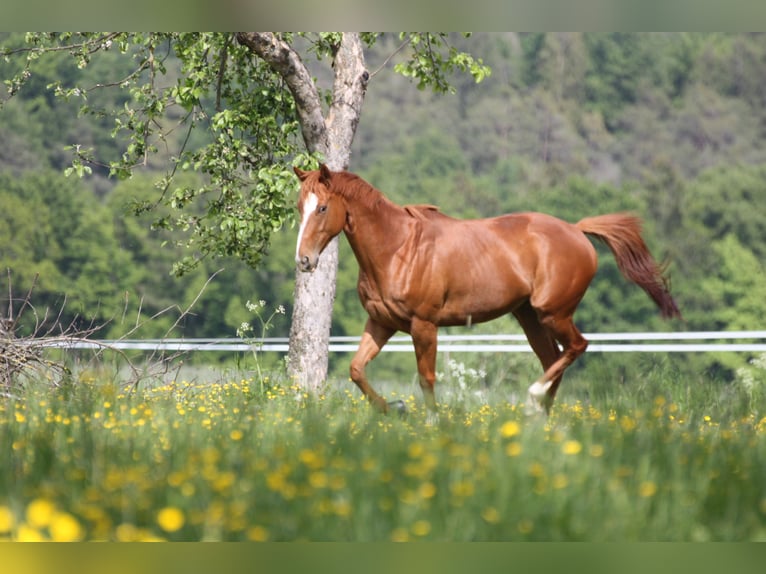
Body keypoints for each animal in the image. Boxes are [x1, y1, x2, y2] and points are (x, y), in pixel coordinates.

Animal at [293, 164, 681, 415]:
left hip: (553, 313)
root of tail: (576, 229)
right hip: (529, 318)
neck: (397, 249)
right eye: (299, 207)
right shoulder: (382, 322)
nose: (304, 261)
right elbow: (356, 370)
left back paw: (533, 398)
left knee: (576, 348)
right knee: (554, 359)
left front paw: (431, 422)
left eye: (323, 207)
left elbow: (426, 379)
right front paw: (395, 408)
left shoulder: (424, 326)